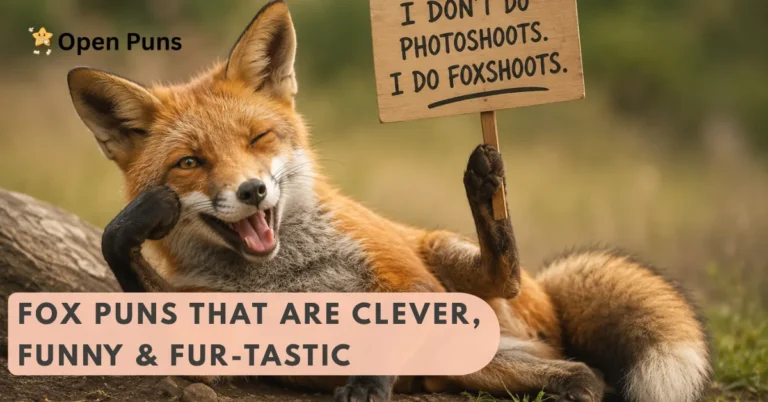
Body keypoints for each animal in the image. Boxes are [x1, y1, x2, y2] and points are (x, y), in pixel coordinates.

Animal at [66, 1, 710, 401]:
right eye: (190, 163)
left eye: (258, 138)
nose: (252, 191)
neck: (285, 275)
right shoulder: (213, 328)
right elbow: (121, 251)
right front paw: (137, 220)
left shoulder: (406, 281)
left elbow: (388, 329)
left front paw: (369, 385)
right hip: (480, 361)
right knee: (585, 376)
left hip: (447, 255)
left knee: (506, 277)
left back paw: (486, 189)